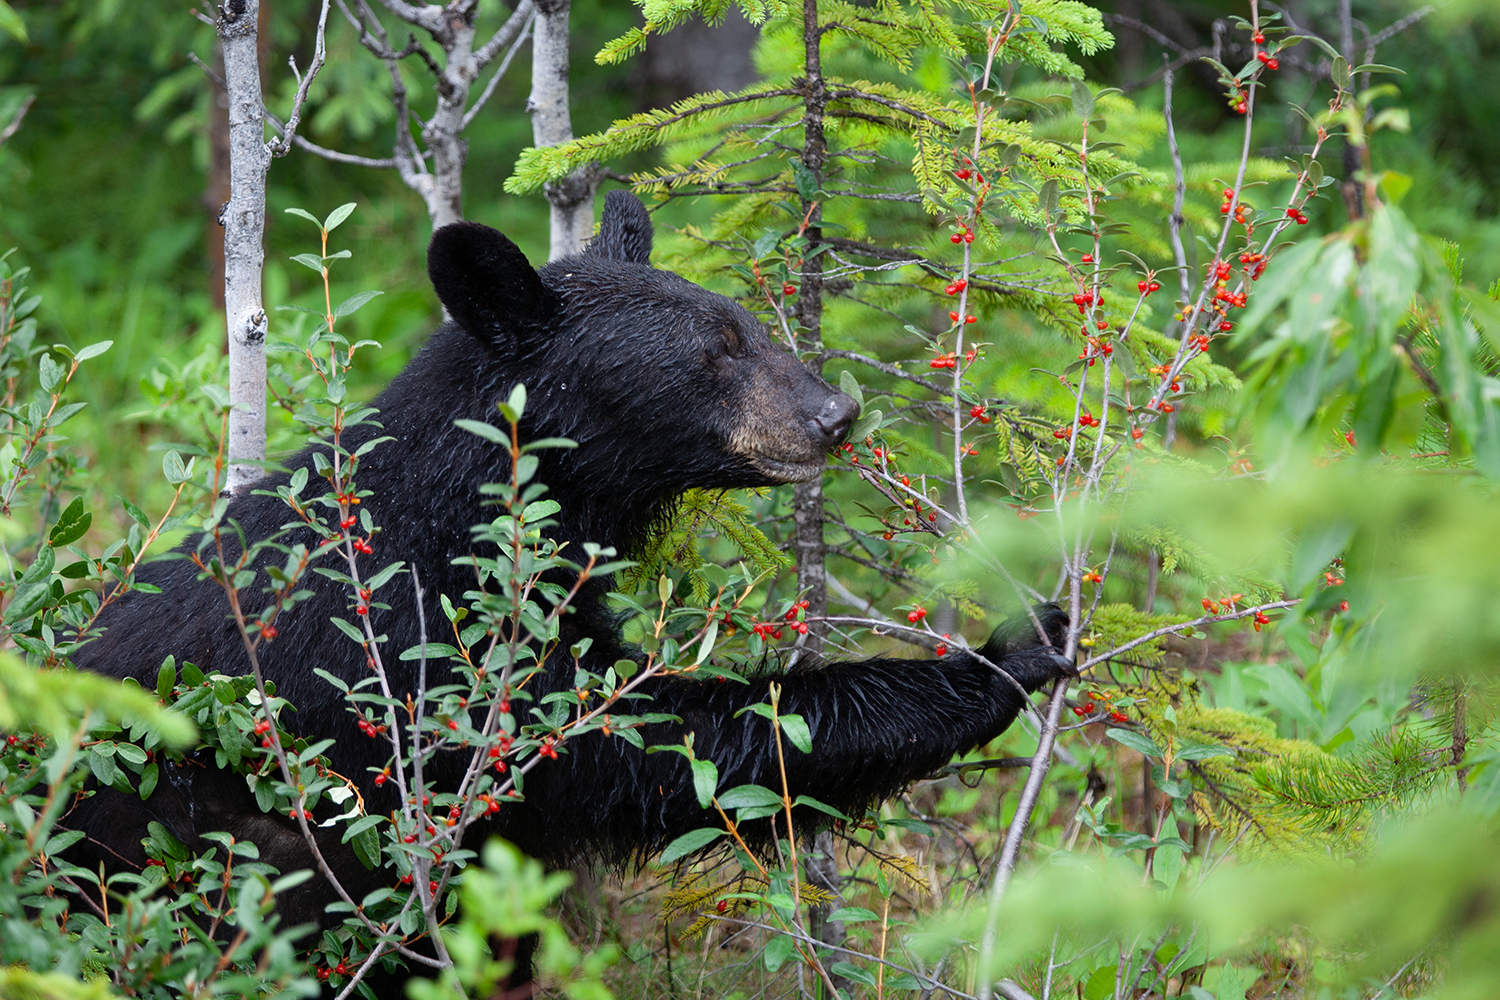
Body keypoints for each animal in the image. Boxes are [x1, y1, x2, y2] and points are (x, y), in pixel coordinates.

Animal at [64, 187, 1074, 959]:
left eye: (749, 327)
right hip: (202, 838)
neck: (466, 506)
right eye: (714, 353)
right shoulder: (421, 641)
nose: (836, 414)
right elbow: (633, 744)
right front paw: (1001, 658)